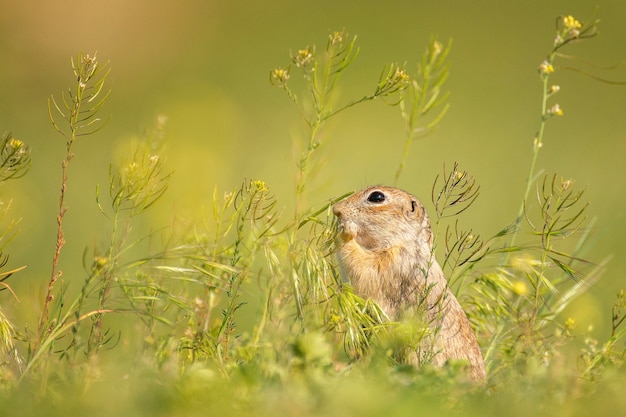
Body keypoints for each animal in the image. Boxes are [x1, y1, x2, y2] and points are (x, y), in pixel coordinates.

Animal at [334, 185, 486, 380]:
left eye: (377, 197)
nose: (336, 210)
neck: (404, 241)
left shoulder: (393, 262)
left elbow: (363, 267)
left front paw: (345, 230)